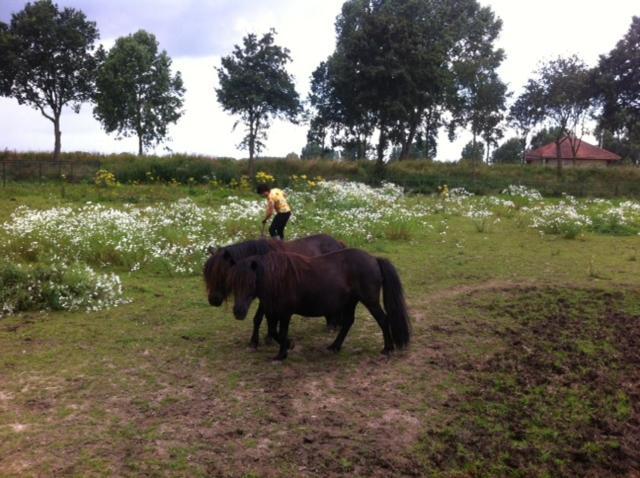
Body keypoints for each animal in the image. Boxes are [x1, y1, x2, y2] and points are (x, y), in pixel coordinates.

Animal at [204, 233, 344, 346]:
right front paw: (262, 339)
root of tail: (338, 243)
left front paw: (262, 340)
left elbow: (260, 318)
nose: (213, 300)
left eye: (223, 274)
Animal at [230, 248, 410, 360]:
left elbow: (281, 333)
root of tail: (374, 259)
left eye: (250, 283)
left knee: (383, 320)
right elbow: (274, 332)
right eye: (233, 283)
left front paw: (282, 354)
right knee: (348, 322)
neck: (277, 278)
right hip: (351, 302)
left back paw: (387, 349)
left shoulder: (285, 313)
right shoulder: (272, 312)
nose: (238, 312)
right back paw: (334, 346)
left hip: (370, 301)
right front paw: (288, 345)